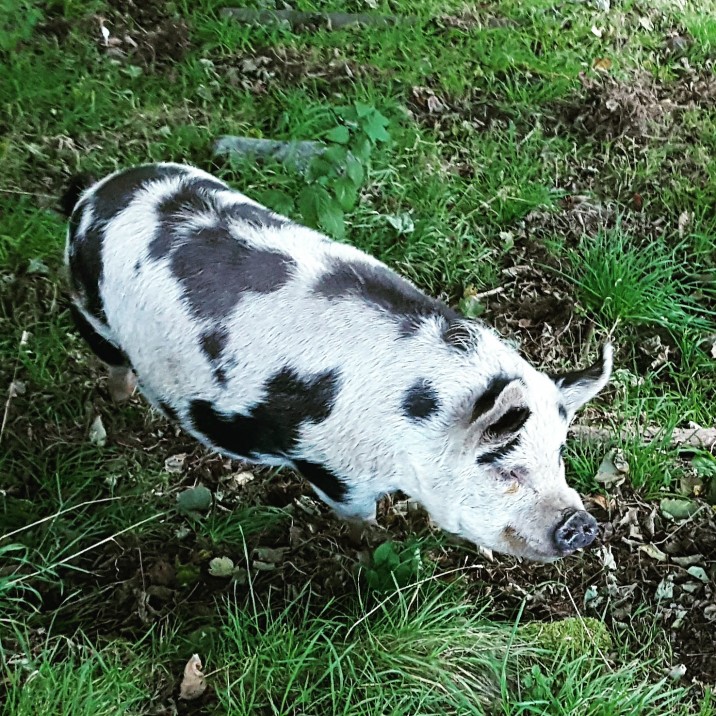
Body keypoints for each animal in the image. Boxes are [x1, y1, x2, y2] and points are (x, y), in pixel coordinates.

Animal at [62, 162, 612, 562]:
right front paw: (375, 544)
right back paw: (122, 403)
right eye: (507, 470)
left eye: (559, 456)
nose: (583, 523)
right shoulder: (330, 470)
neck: (412, 422)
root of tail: (97, 193)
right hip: (90, 312)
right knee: (112, 361)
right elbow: (359, 518)